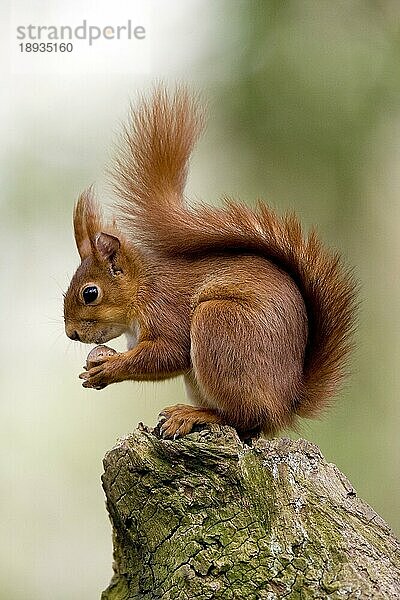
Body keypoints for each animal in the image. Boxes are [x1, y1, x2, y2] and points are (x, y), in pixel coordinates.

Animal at [64, 86, 358, 438]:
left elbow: (169, 353)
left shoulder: (166, 309)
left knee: (245, 417)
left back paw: (194, 415)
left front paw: (109, 367)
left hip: (219, 326)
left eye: (90, 293)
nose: (70, 334)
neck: (141, 288)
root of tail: (286, 405)